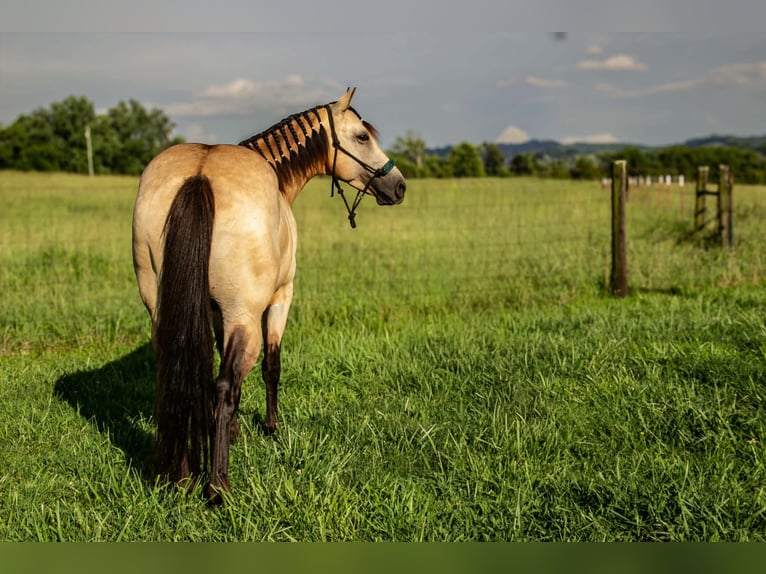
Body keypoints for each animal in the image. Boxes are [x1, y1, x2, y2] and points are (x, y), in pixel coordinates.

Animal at [132, 88, 406, 499]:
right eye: (362, 137)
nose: (399, 186)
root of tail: (200, 174)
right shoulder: (280, 299)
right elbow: (270, 367)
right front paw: (271, 427)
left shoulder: (214, 313)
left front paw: (230, 432)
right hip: (246, 317)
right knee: (227, 385)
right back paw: (218, 486)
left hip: (162, 311)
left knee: (181, 372)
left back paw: (179, 474)